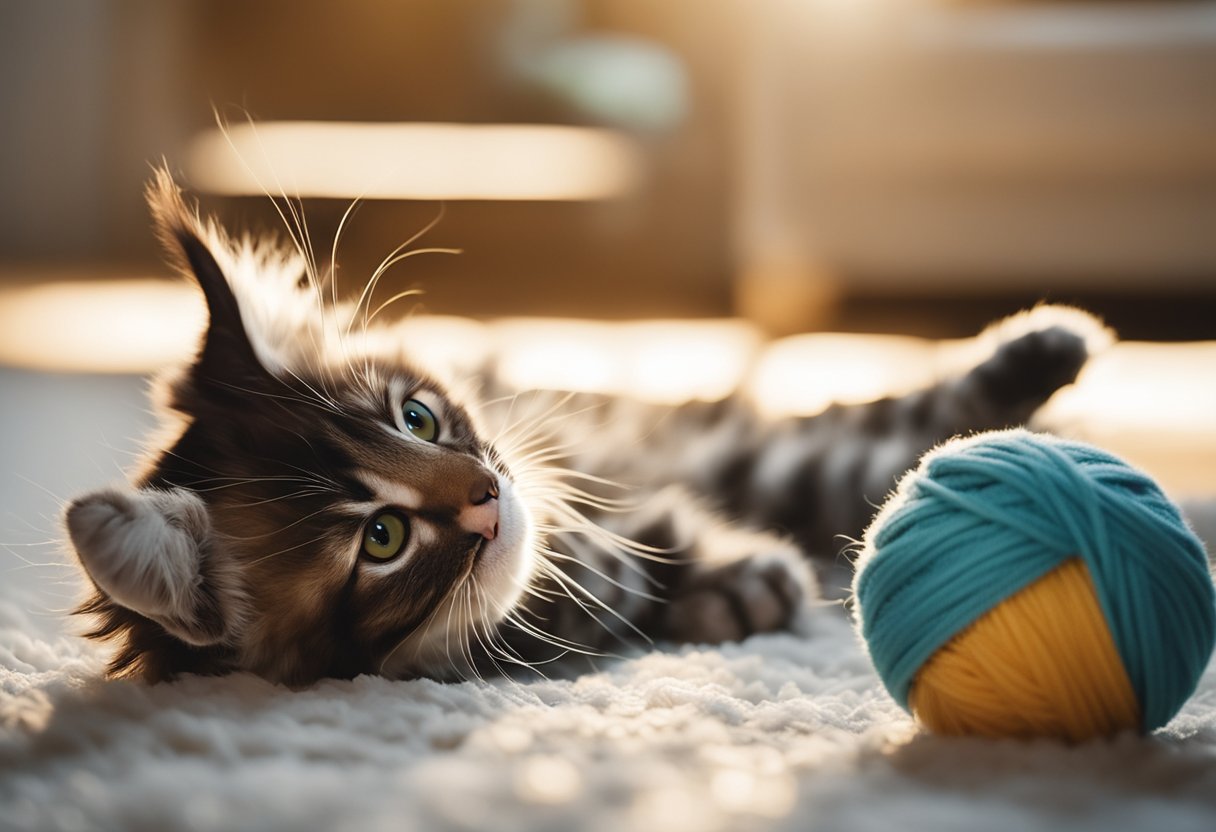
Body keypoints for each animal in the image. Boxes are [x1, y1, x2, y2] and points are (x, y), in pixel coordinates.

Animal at [61, 172, 1104, 686]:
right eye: (382, 537)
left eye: (418, 415)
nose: (489, 495)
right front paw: (737, 589)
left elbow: (861, 454)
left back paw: (1056, 346)